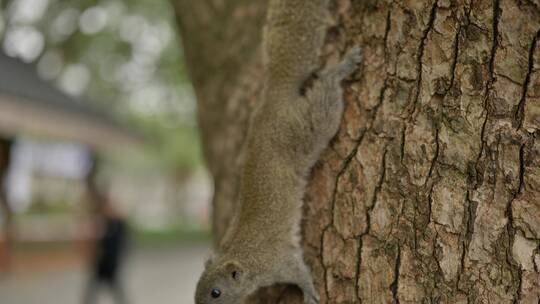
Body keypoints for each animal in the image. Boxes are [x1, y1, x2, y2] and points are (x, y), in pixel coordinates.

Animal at [195, 0, 362, 304]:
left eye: (216, 292)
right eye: (195, 291)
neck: (243, 257)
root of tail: (271, 97)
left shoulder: (277, 261)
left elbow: (299, 270)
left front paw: (308, 292)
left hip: (303, 129)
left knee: (325, 94)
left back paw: (342, 67)